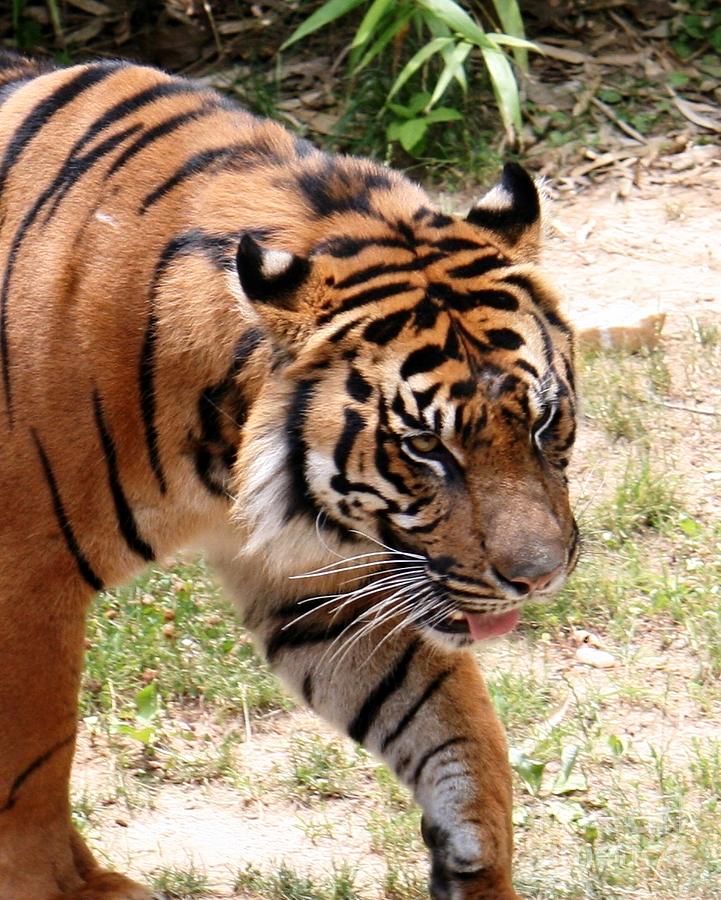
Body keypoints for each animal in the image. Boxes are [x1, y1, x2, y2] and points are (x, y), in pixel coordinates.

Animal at [0, 49, 576, 900]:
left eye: (541, 423)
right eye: (424, 447)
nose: (536, 580)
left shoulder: (328, 577)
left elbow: (455, 729)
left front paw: (473, 860)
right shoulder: (26, 584)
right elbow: (33, 767)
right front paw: (63, 887)